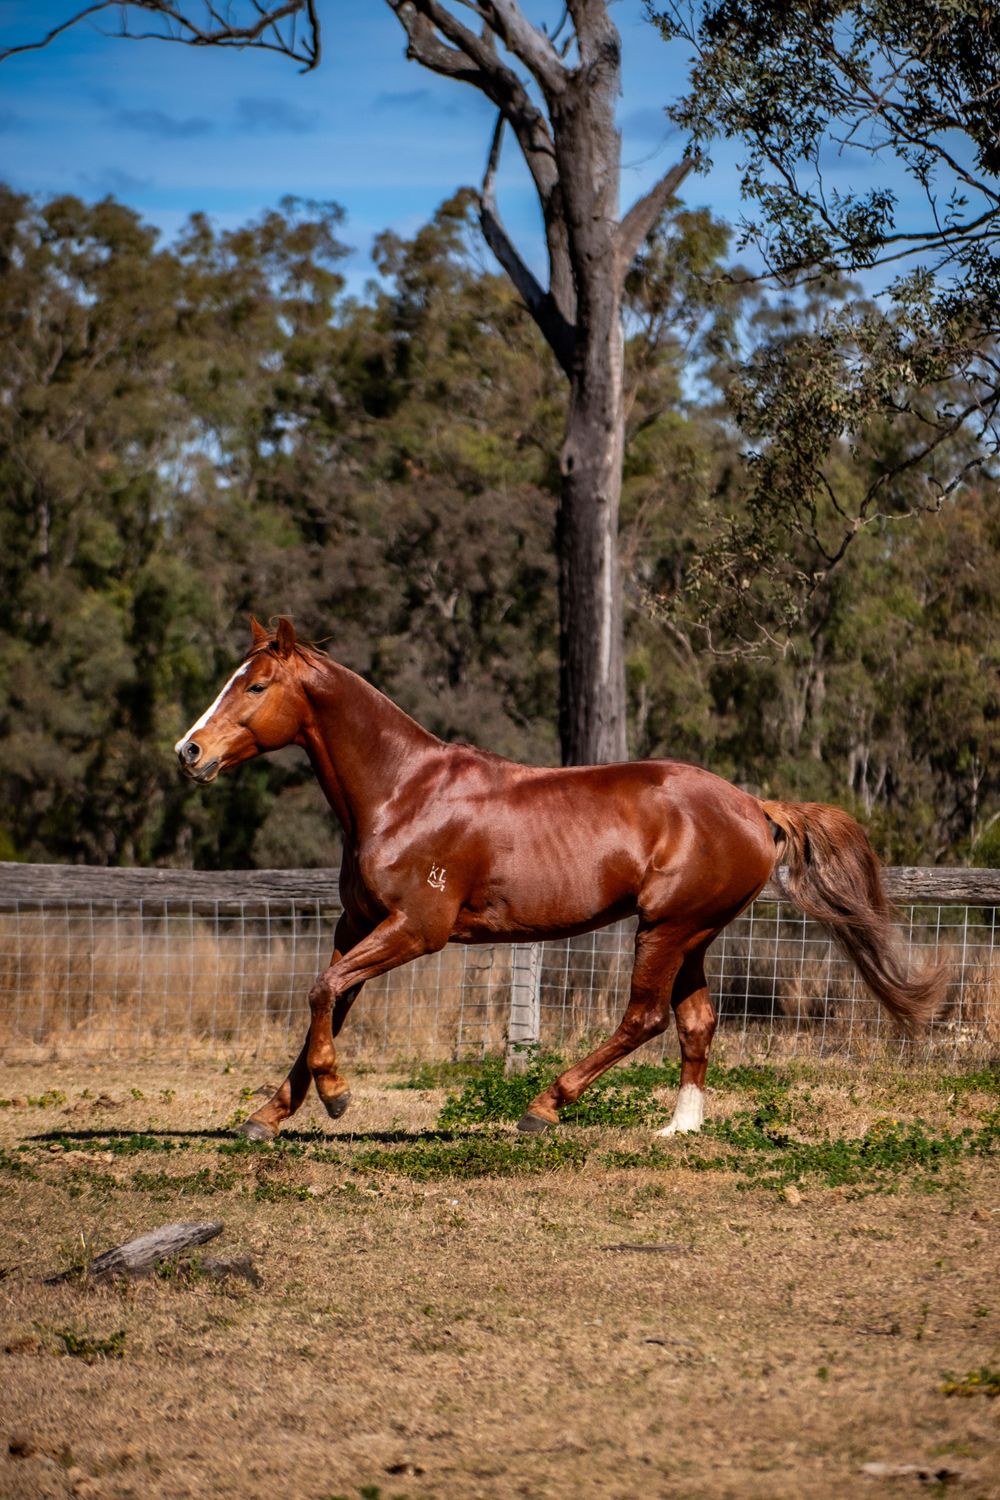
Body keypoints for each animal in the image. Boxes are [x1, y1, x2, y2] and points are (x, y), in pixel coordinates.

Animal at [176, 616, 946, 1141]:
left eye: (256, 685)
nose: (189, 752)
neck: (403, 793)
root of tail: (755, 807)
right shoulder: (358, 923)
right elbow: (327, 1002)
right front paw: (267, 1115)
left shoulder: (416, 930)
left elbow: (322, 990)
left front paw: (336, 1096)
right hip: (693, 934)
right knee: (696, 1022)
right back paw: (680, 1128)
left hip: (665, 927)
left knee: (644, 1017)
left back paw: (544, 1107)